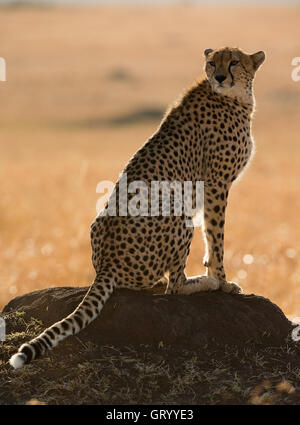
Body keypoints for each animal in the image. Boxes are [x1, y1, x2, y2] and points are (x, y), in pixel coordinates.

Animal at [9, 45, 264, 364]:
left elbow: (212, 238)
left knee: (153, 285)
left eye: (233, 62)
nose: (218, 76)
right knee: (173, 287)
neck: (236, 96)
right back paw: (203, 283)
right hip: (178, 211)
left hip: (102, 225)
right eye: (211, 63)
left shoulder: (213, 186)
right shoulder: (216, 184)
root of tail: (107, 264)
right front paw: (222, 280)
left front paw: (215, 273)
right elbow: (216, 237)